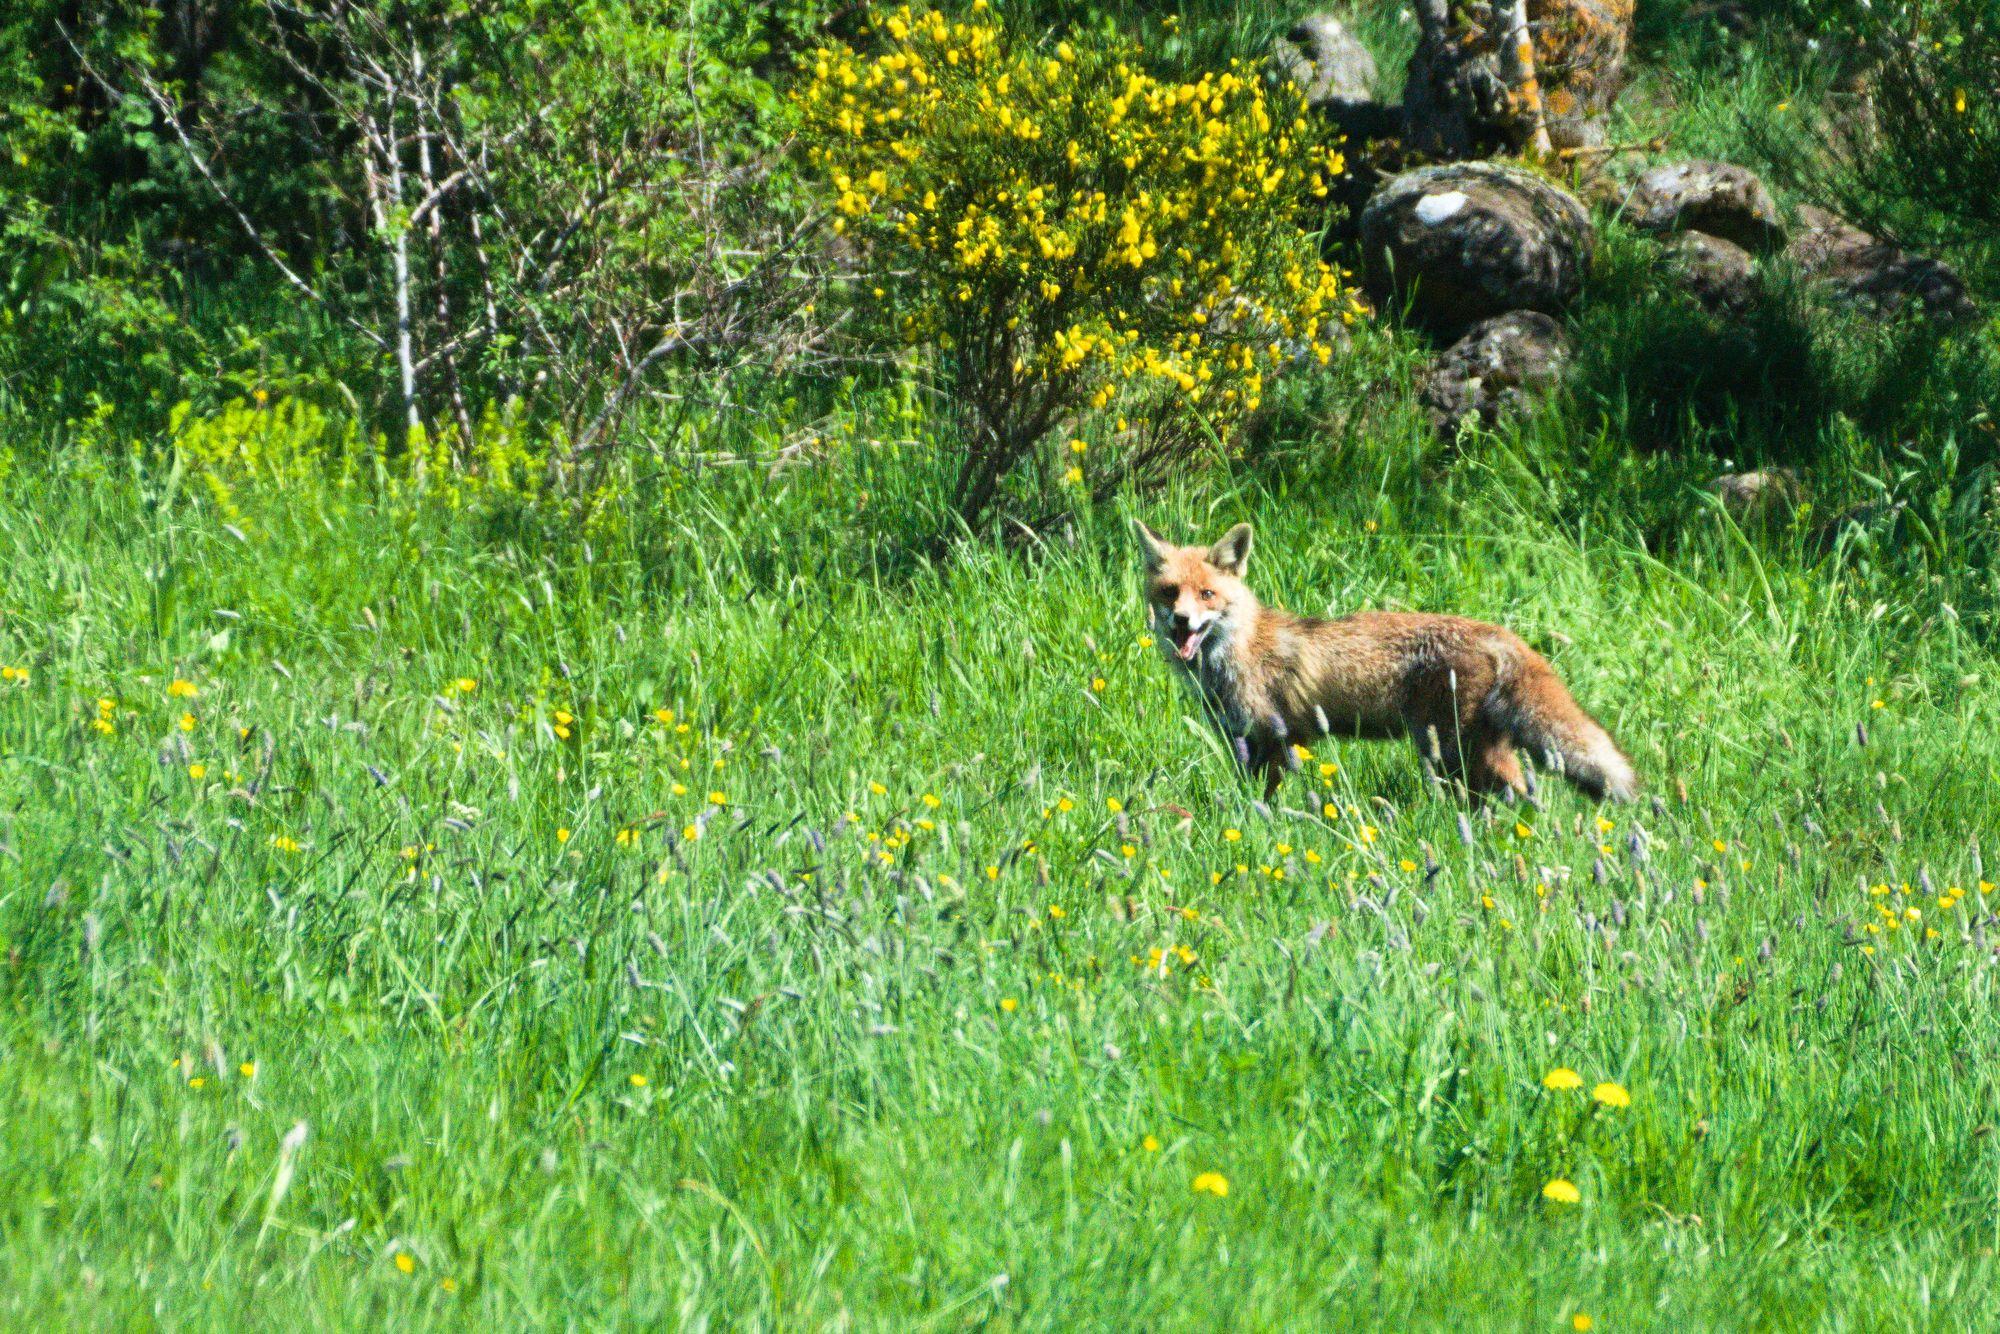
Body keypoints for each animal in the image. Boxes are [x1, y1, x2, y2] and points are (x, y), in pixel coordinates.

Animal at [1136, 520, 1637, 804]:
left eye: (1207, 594)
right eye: (1170, 592)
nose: (1181, 620)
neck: (1238, 651)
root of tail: (1499, 633)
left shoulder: (1278, 737)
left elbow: (1266, 798)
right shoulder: (1241, 740)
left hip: (1453, 747)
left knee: (1516, 794)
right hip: (1463, 749)